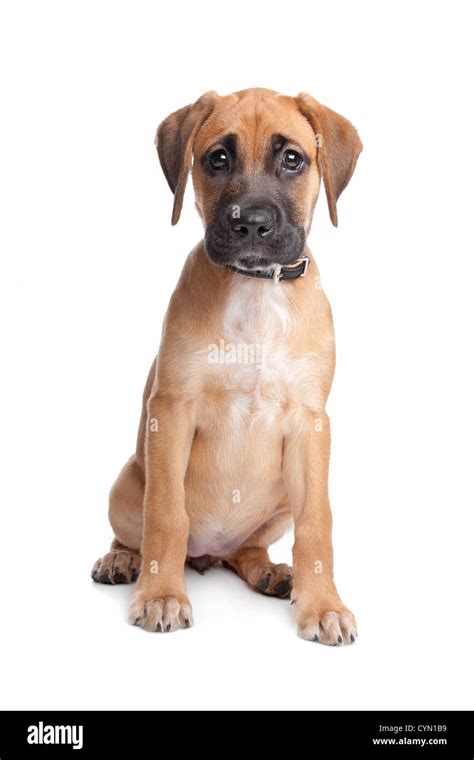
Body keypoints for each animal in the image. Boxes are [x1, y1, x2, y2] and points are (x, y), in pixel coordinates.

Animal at [90, 89, 362, 648]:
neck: (256, 292)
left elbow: (317, 525)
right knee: (138, 533)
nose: (252, 224)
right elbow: (166, 516)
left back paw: (270, 572)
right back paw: (123, 561)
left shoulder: (311, 424)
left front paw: (323, 605)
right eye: (217, 158)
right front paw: (161, 595)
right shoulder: (172, 410)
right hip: (126, 483)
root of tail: (207, 555)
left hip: (278, 503)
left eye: (292, 159)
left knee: (245, 550)